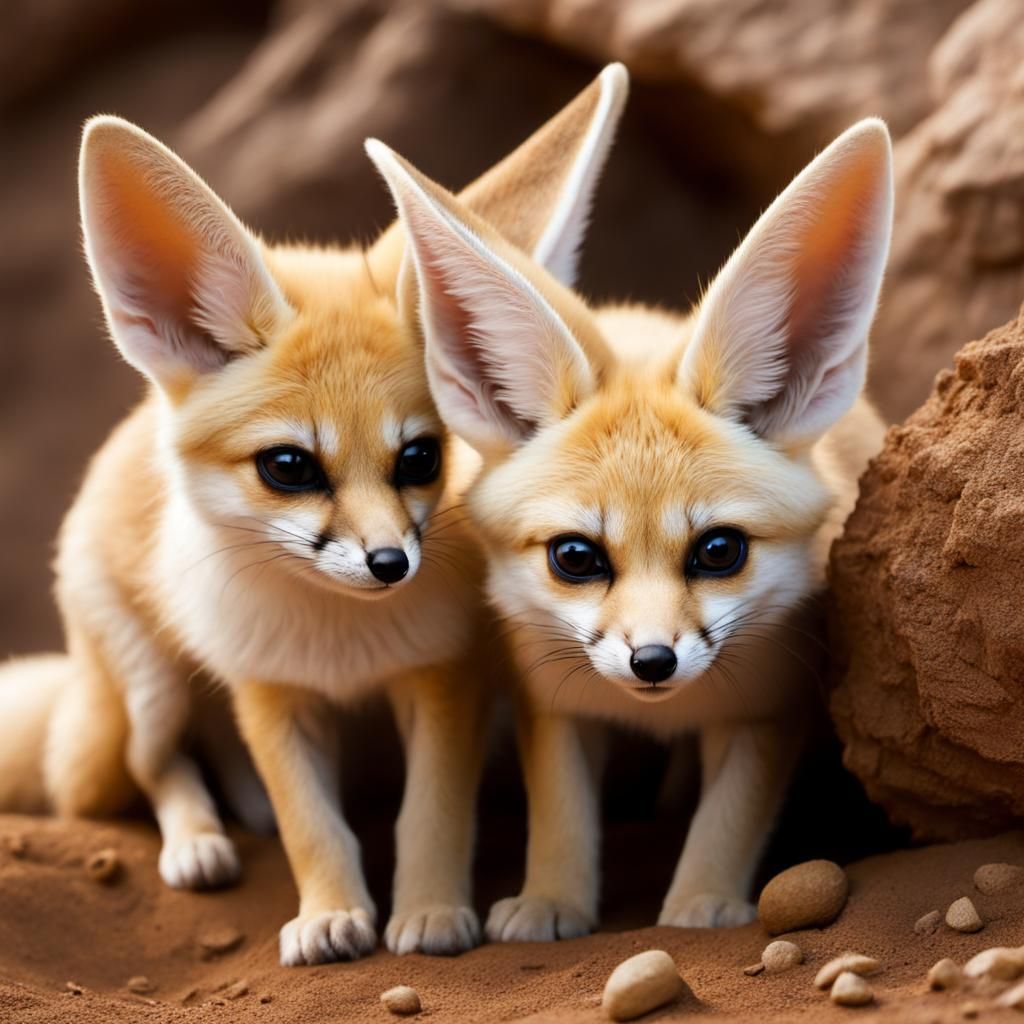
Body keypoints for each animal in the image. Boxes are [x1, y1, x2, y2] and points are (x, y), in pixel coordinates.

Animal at [0, 64, 630, 964]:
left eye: (420, 458)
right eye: (290, 467)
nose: (389, 565)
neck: (340, 647)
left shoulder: (445, 677)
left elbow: (429, 816)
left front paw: (429, 913)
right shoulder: (269, 691)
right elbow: (315, 827)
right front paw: (331, 913)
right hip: (150, 688)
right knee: (152, 764)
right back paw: (199, 840)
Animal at [366, 117, 893, 938]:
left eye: (719, 551)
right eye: (576, 557)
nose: (652, 662)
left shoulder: (768, 714)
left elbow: (727, 818)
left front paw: (702, 902)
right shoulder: (555, 706)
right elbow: (562, 815)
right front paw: (553, 900)